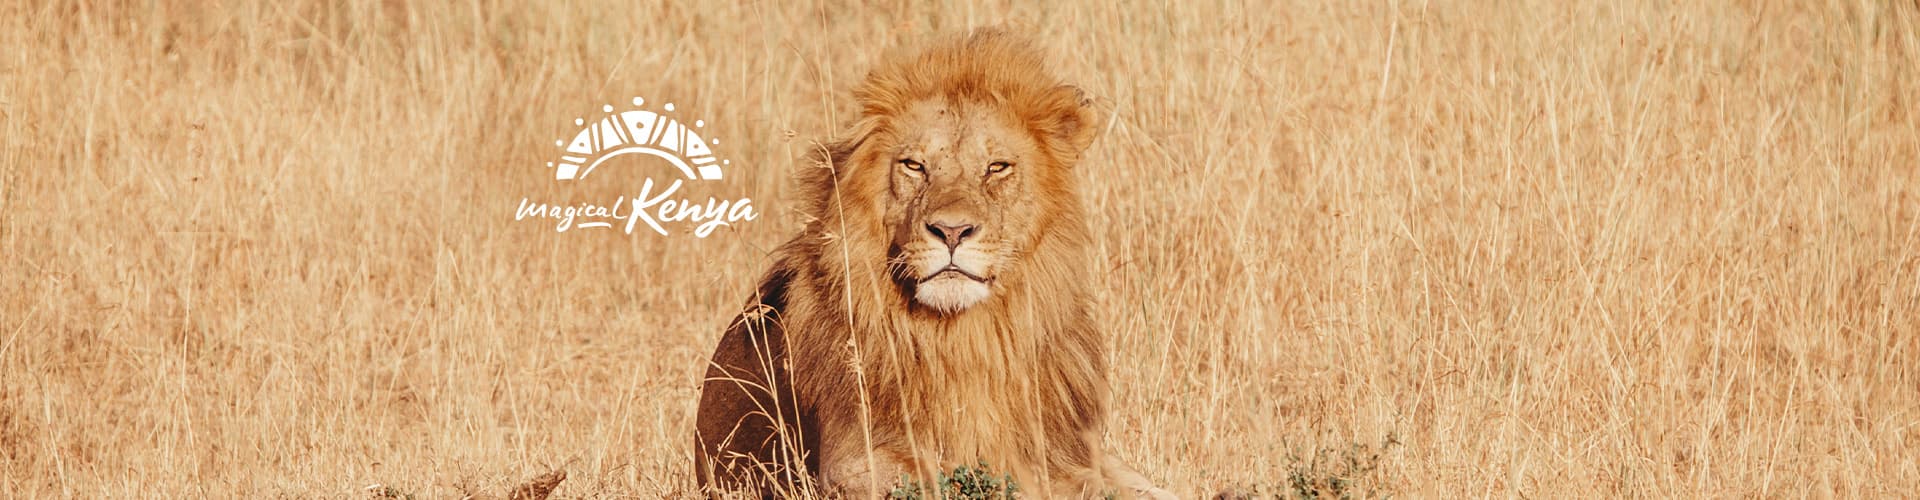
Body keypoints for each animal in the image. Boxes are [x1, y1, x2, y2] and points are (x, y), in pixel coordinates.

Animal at [694, 29, 1170, 499]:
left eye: (997, 167)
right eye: (914, 165)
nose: (952, 231)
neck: (966, 339)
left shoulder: (1068, 453)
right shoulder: (851, 463)